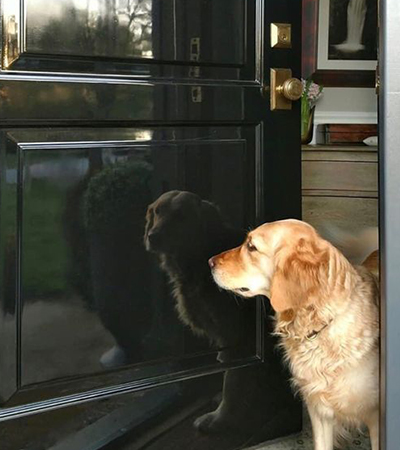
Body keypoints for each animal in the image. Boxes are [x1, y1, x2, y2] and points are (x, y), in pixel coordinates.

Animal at [144, 191, 302, 440]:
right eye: (157, 212)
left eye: (180, 216)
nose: (153, 236)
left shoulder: (237, 341)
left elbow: (233, 384)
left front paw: (219, 420)